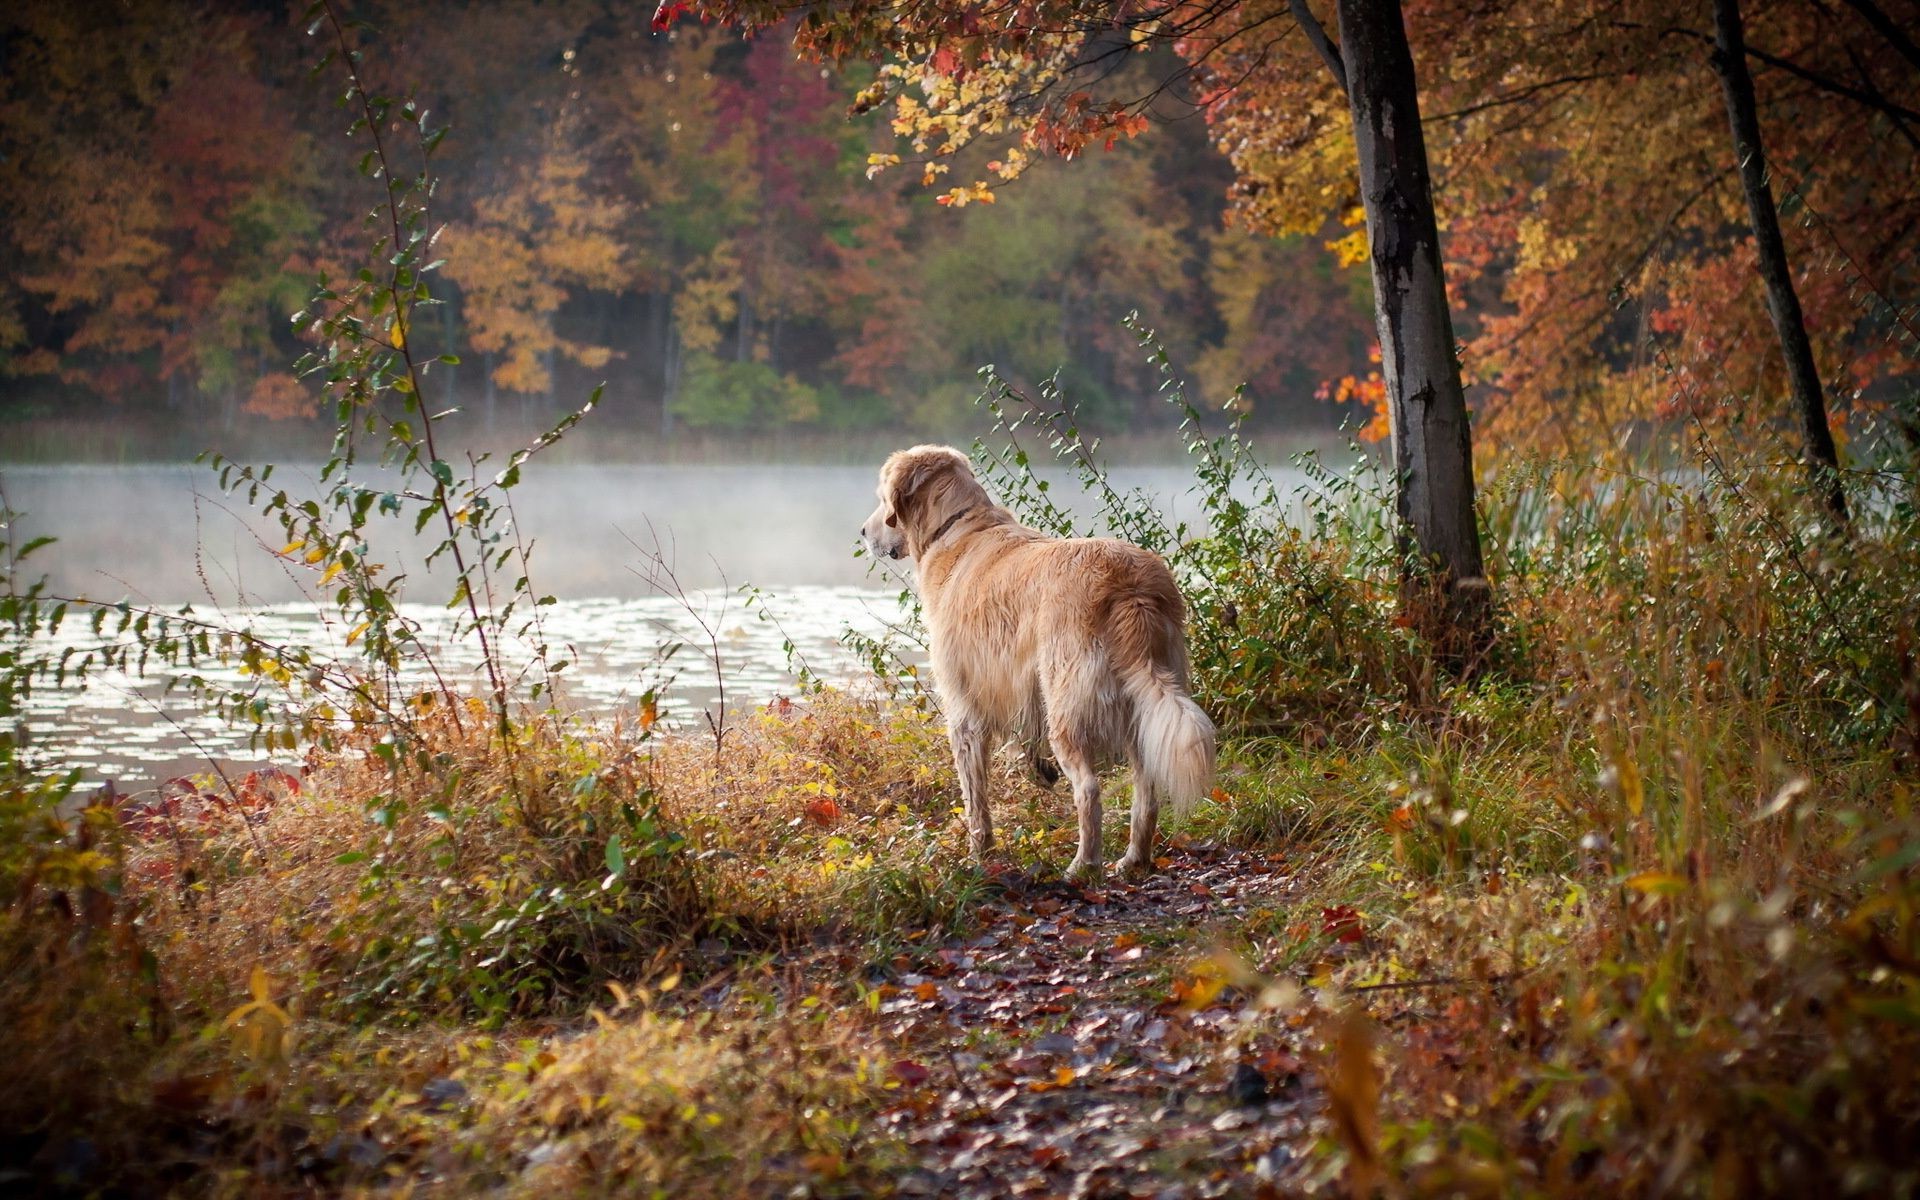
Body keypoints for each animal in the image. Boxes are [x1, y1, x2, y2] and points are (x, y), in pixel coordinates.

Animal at [860, 445, 1205, 875]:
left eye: (880, 497)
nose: (863, 532)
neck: (957, 528)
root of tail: (1130, 587)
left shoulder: (964, 706)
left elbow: (975, 798)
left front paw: (980, 854)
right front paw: (1039, 773)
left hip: (1068, 704)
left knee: (1089, 790)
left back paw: (1083, 864)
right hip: (1141, 700)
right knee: (1147, 788)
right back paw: (1132, 859)